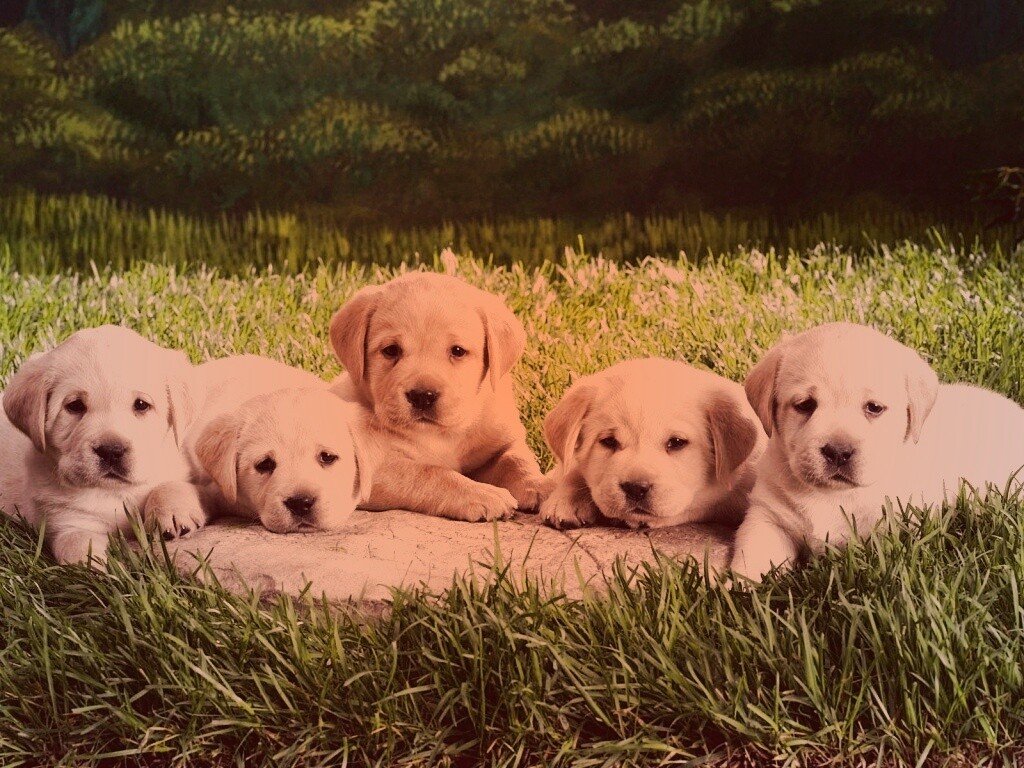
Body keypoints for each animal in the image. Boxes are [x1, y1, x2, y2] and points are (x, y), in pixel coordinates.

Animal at [0, 325, 196, 565]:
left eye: (141, 404)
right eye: (75, 406)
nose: (111, 451)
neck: (113, 493)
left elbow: (170, 484)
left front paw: (172, 513)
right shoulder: (68, 522)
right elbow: (78, 549)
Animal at [328, 271, 547, 521]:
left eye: (458, 351)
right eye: (391, 350)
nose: (422, 396)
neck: (442, 434)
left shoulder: (503, 441)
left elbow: (517, 460)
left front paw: (541, 485)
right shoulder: (371, 470)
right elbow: (430, 473)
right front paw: (483, 494)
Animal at [730, 322, 1024, 582]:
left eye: (874, 407)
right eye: (804, 405)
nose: (838, 451)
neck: (833, 496)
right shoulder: (768, 516)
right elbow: (753, 558)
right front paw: (741, 592)